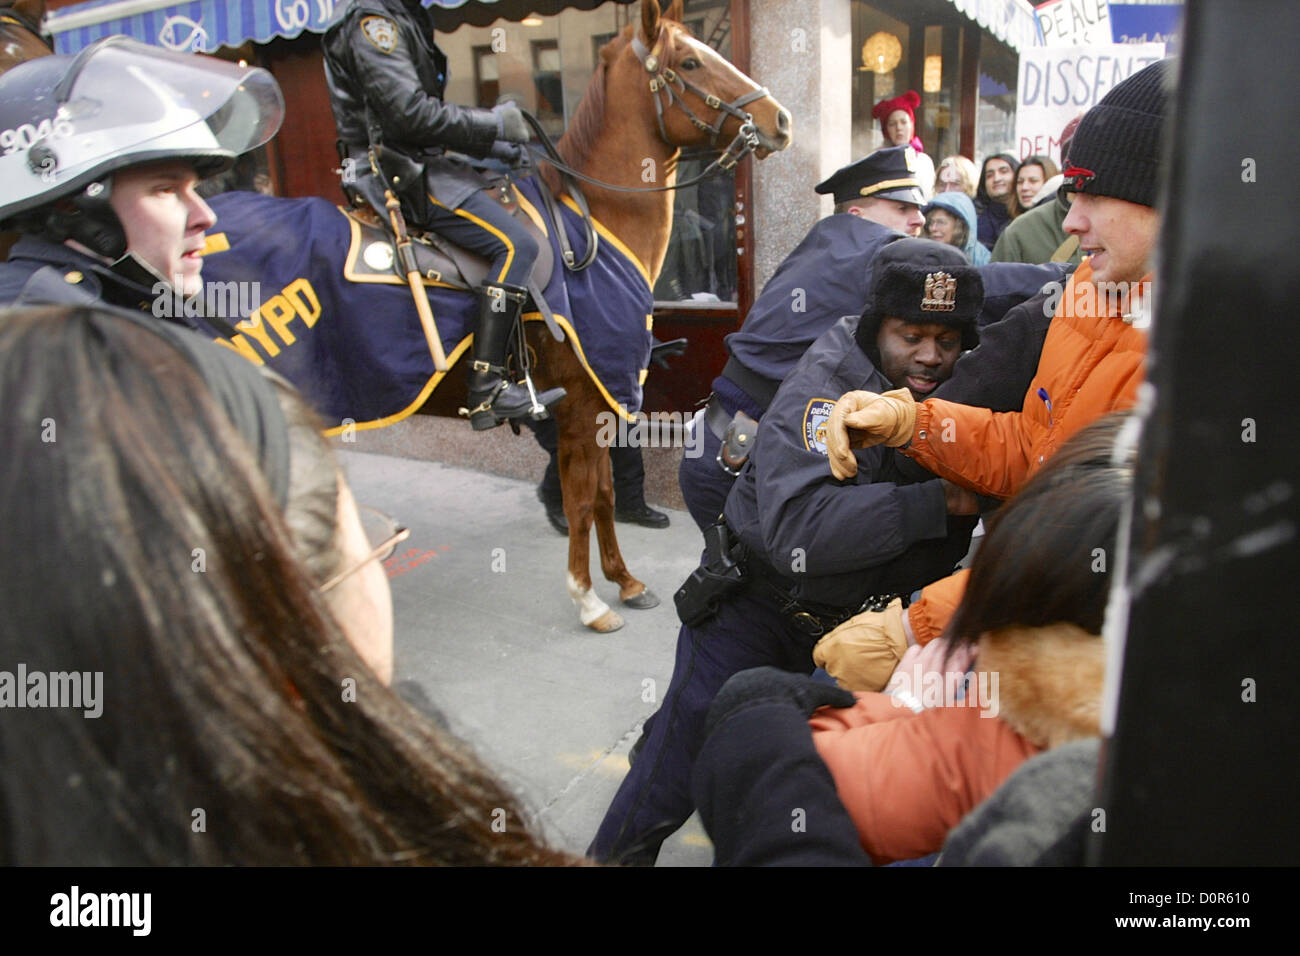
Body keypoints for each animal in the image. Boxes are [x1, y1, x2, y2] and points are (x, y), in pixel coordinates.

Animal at [520, 1, 790, 634]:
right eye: (689, 61)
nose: (781, 119)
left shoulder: (603, 403)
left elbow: (602, 494)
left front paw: (624, 581)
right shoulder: (579, 404)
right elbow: (580, 497)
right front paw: (588, 598)